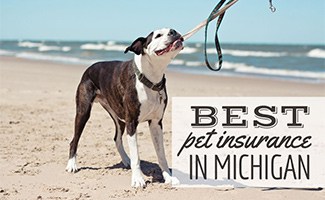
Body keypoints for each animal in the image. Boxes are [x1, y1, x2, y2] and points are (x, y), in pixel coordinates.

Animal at [66, 27, 182, 188]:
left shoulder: (156, 123)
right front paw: (138, 179)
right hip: (84, 112)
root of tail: (89, 68)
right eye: (158, 35)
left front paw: (168, 177)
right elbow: (137, 156)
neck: (150, 79)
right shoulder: (132, 123)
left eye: (172, 30)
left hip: (118, 116)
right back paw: (72, 165)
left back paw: (126, 159)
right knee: (74, 140)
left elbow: (161, 154)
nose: (173, 31)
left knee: (116, 137)